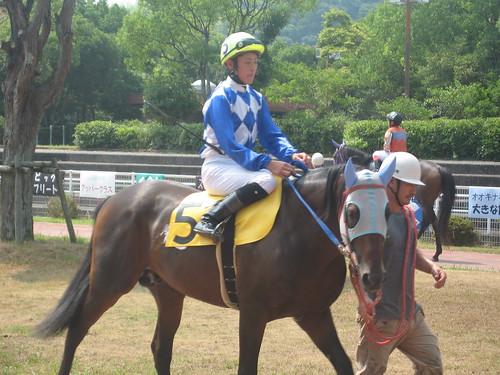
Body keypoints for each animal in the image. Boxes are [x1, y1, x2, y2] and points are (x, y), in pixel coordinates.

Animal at [35, 162, 396, 375]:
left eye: (389, 211)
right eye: (352, 212)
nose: (374, 277)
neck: (296, 230)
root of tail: (116, 199)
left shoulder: (313, 314)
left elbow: (343, 363)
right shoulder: (252, 313)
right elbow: (247, 367)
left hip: (168, 291)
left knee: (160, 348)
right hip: (110, 282)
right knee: (76, 330)